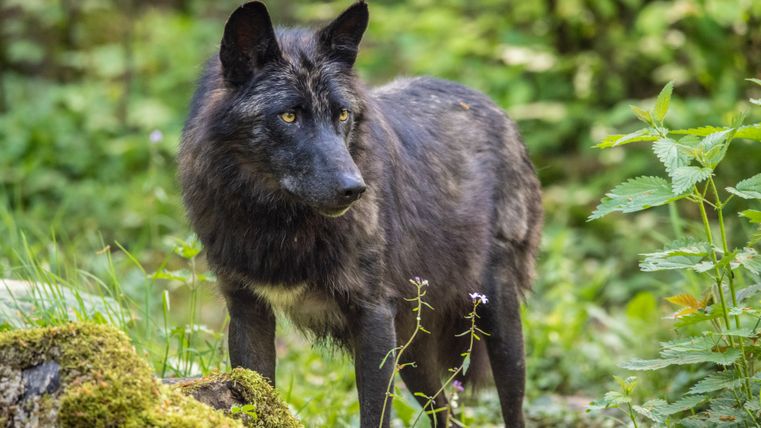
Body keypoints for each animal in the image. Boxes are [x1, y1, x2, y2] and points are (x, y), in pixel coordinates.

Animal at [178, 1, 542, 426]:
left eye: (342, 115)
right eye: (288, 116)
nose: (355, 188)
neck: (280, 223)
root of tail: (491, 105)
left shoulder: (373, 318)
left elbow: (374, 413)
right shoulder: (248, 312)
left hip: (496, 323)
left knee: (511, 407)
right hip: (412, 350)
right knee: (445, 411)